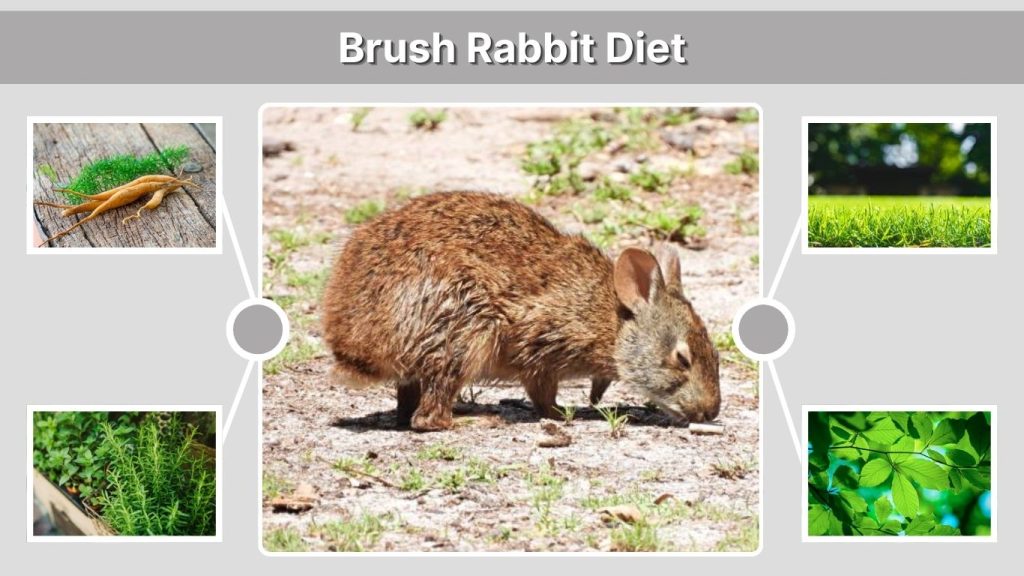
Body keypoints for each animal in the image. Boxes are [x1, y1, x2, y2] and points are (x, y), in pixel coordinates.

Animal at [322, 191, 720, 431]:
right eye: (682, 358)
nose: (710, 411)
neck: (613, 320)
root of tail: (352, 349)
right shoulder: (541, 349)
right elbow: (542, 394)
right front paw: (563, 414)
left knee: (407, 409)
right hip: (463, 332)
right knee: (428, 417)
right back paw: (479, 420)